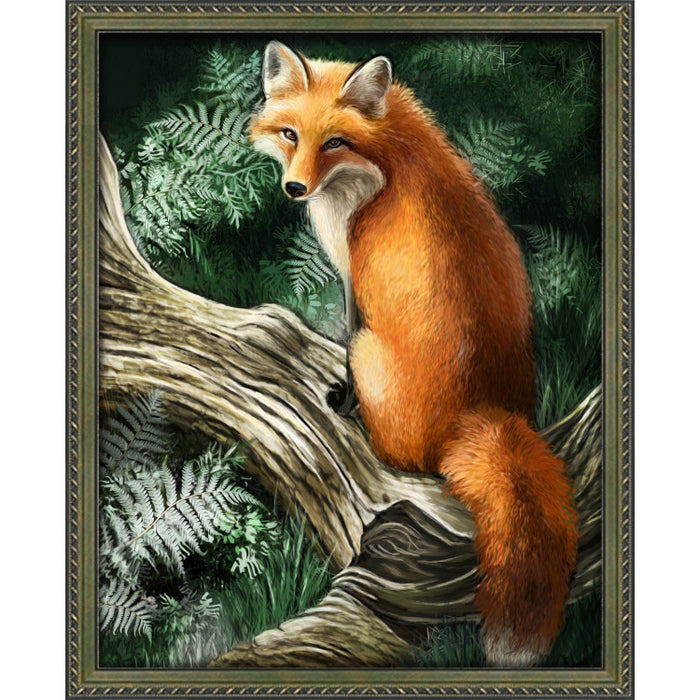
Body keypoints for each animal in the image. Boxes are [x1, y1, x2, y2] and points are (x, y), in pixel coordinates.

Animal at [250, 41, 579, 667]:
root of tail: (480, 413)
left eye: (334, 142)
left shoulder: (354, 279)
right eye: (290, 134)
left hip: (371, 353)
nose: (295, 190)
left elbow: (345, 332)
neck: (389, 159)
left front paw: (341, 400)